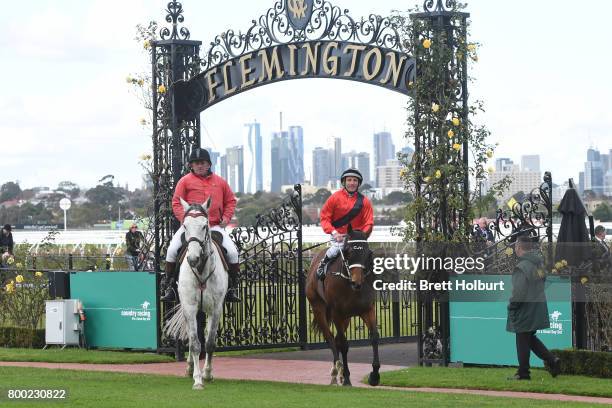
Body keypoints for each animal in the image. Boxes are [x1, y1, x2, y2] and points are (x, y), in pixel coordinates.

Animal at [164, 197, 228, 388]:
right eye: (185, 225)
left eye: (204, 226)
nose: (193, 259)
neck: (200, 271)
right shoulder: (190, 307)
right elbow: (194, 343)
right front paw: (198, 379)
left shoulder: (215, 309)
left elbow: (209, 343)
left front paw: (207, 373)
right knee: (193, 336)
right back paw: (190, 368)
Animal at [308, 225, 380, 388]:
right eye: (348, 252)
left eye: (368, 253)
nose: (356, 282)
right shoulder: (336, 313)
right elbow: (344, 344)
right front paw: (346, 378)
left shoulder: (368, 310)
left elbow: (374, 337)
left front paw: (374, 376)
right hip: (319, 309)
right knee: (331, 339)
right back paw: (336, 372)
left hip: (346, 318)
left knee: (335, 339)